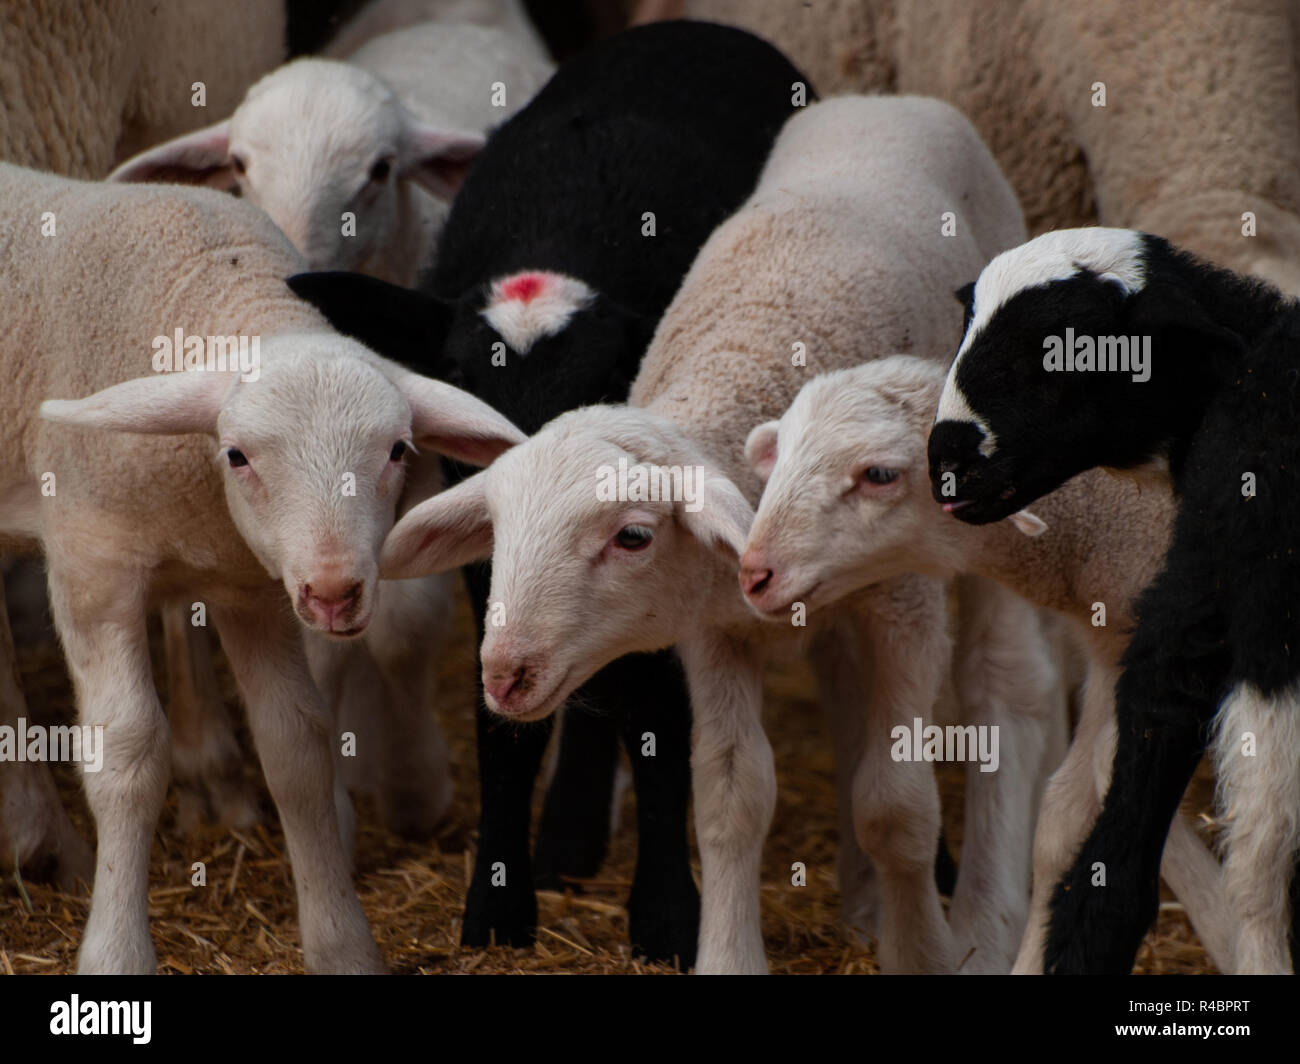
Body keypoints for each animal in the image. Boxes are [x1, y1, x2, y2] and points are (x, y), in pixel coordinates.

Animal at [0, 162, 523, 973]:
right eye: (238, 454)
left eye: (397, 451)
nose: (336, 592)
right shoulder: (93, 565)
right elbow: (126, 755)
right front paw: (116, 953)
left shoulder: (254, 589)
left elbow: (297, 744)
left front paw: (342, 945)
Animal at [288, 18, 812, 967]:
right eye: (457, 380)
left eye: (606, 379)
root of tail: (699, 24)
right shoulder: (489, 559)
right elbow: (500, 718)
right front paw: (498, 903)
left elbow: (656, 712)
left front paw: (666, 916)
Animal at [351, 94, 1032, 973]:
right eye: (498, 531)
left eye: (634, 537)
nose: (503, 674)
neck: (742, 373)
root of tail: (888, 102)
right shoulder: (715, 632)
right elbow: (730, 798)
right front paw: (729, 954)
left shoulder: (904, 605)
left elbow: (897, 804)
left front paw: (923, 951)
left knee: (1003, 684)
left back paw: (986, 916)